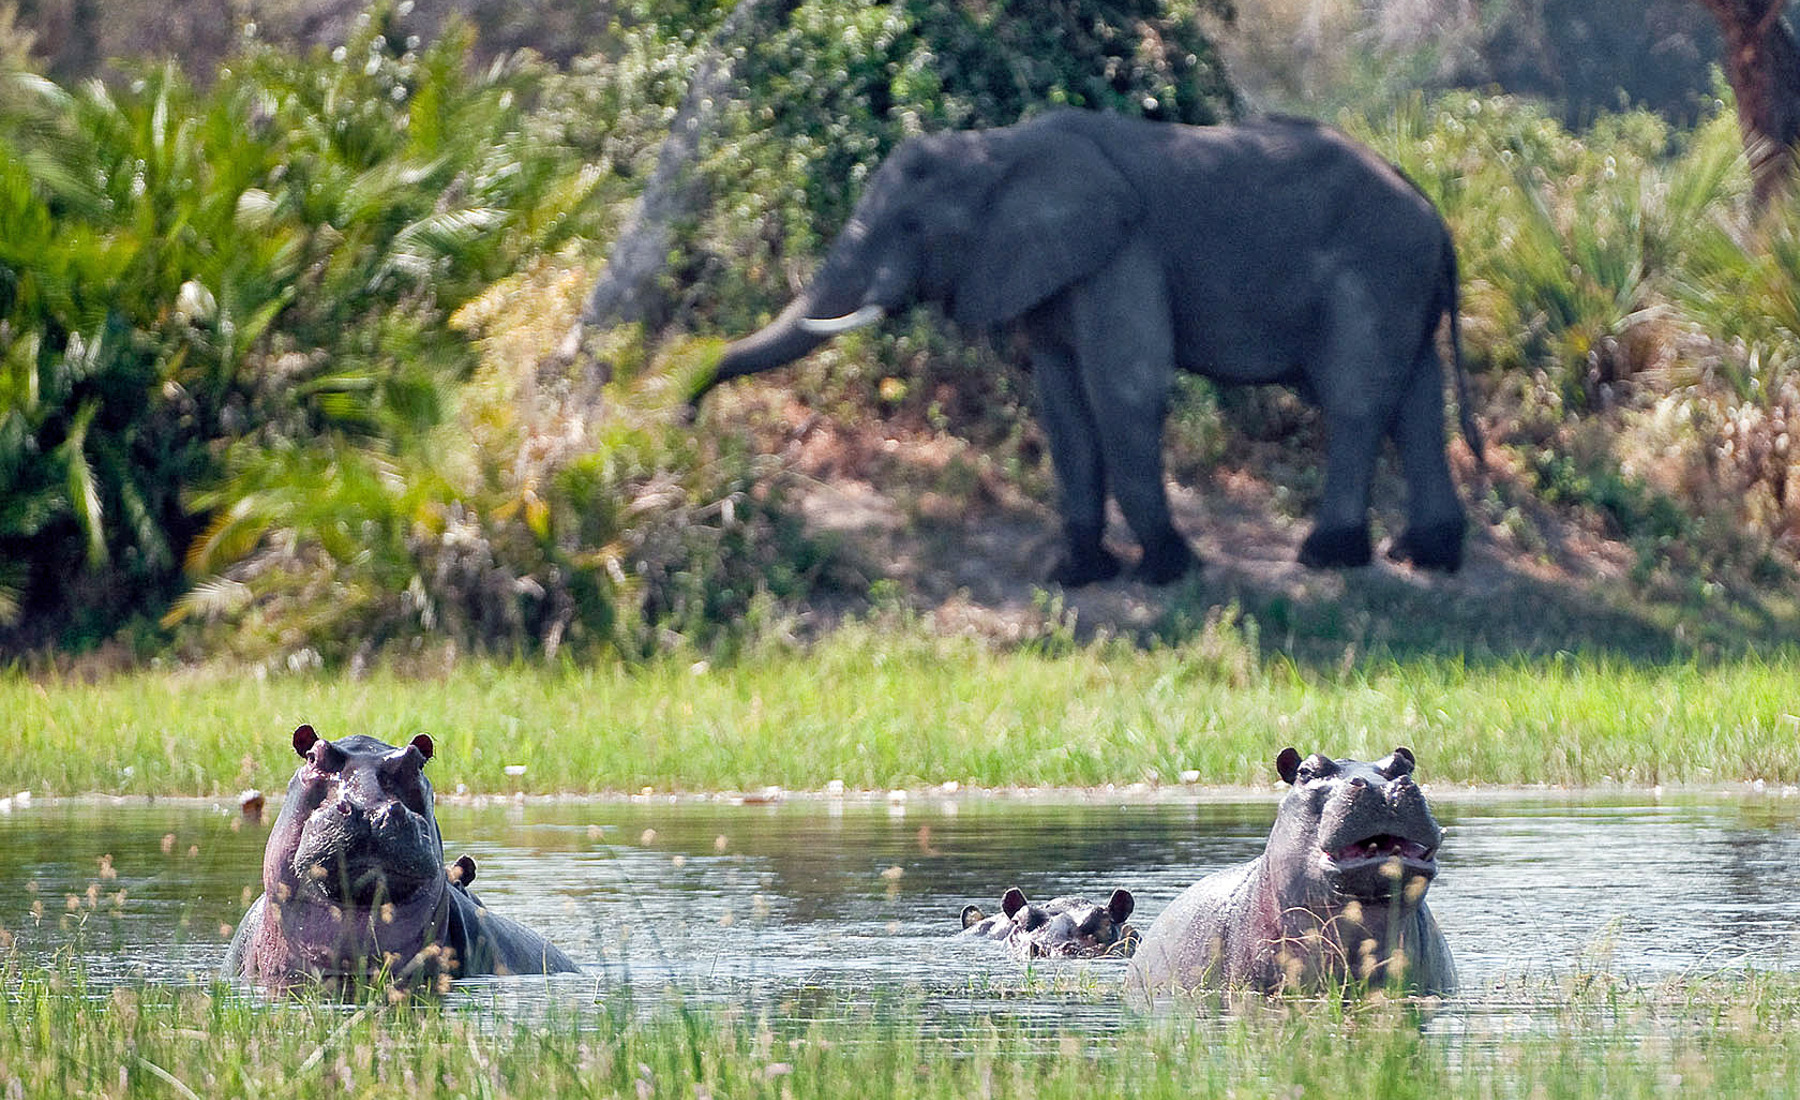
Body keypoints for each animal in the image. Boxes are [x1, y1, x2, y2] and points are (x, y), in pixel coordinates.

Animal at [689, 108, 1483, 585]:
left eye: (912, 228)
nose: (687, 405)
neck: (999, 148)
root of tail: (1438, 215)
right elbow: (1063, 405)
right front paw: (1074, 575)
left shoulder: (1121, 251)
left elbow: (1124, 390)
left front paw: (1167, 569)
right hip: (1400, 281)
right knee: (1417, 398)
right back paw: (1427, 556)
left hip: (1375, 273)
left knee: (1356, 400)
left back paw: (1328, 558)